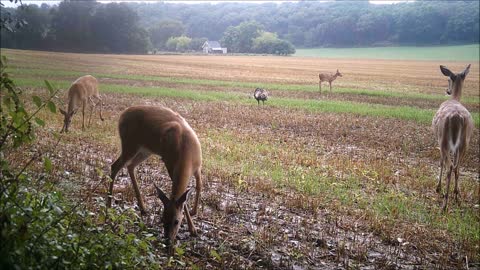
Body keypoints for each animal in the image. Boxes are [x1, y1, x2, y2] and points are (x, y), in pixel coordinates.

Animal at [109, 105, 202, 253]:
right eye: (162, 219)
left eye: (176, 221)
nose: (168, 242)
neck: (186, 154)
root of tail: (122, 115)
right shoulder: (169, 164)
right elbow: (182, 197)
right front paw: (192, 228)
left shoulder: (198, 166)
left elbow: (198, 186)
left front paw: (194, 221)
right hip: (130, 144)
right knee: (115, 166)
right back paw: (108, 204)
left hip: (144, 150)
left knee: (130, 166)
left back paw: (143, 208)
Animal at [432, 64, 472, 212]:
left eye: (448, 79)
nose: (447, 90)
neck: (454, 98)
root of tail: (456, 117)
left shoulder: (439, 141)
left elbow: (441, 162)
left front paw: (438, 188)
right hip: (464, 143)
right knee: (457, 167)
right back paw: (456, 196)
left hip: (443, 139)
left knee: (449, 166)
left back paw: (445, 203)